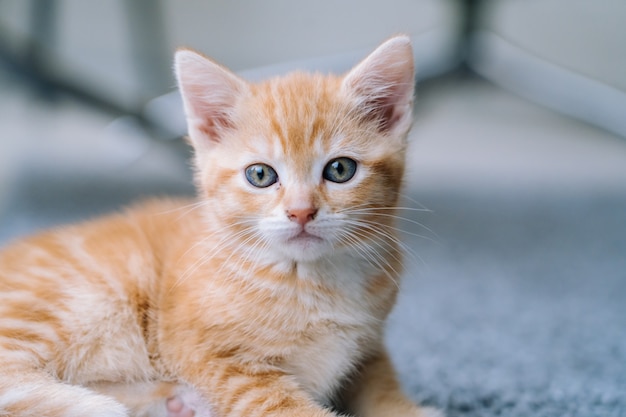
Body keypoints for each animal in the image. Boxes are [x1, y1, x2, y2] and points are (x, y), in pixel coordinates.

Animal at [0, 36, 438, 416]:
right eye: (260, 175)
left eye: (341, 170)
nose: (301, 212)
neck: (313, 281)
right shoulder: (213, 358)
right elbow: (285, 407)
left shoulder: (370, 344)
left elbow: (383, 385)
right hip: (80, 299)